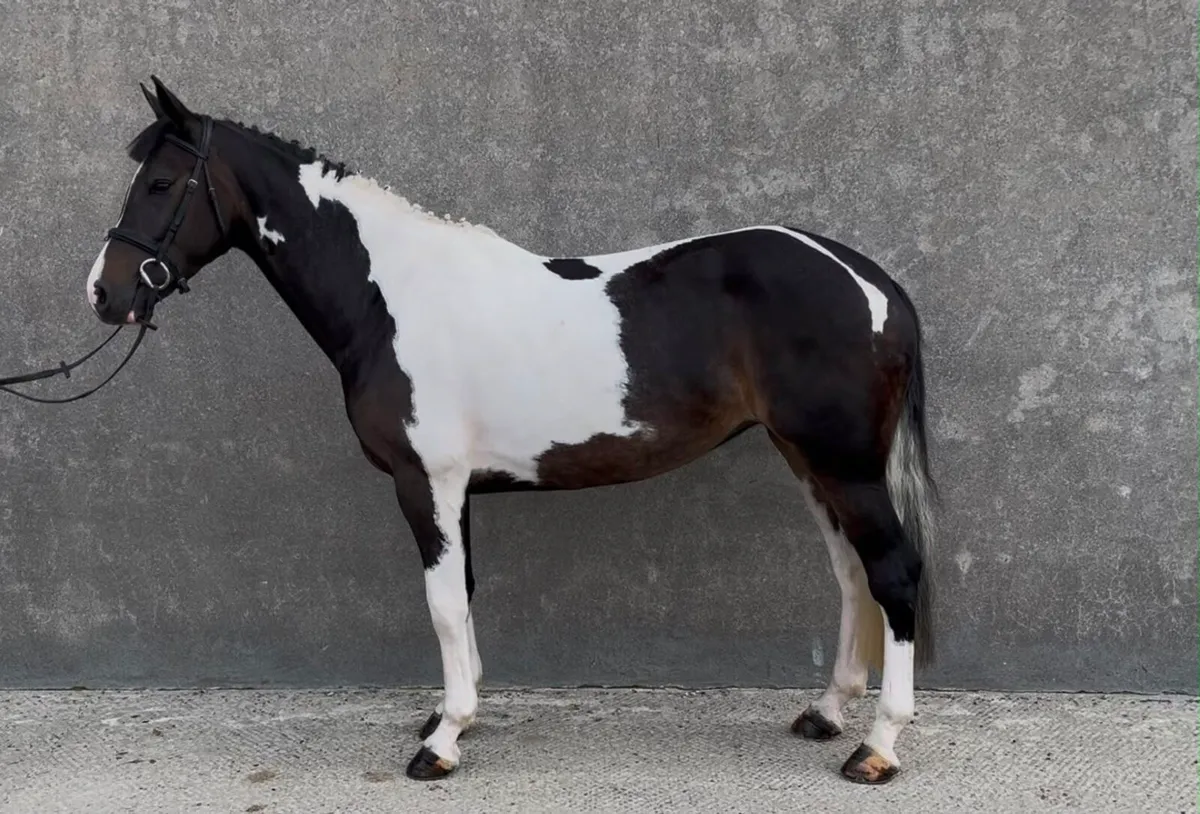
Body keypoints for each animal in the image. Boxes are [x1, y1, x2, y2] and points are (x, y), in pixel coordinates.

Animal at [85, 76, 938, 785]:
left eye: (160, 182)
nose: (105, 292)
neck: (388, 296)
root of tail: (871, 280)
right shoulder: (455, 487)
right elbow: (461, 595)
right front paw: (451, 715)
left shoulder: (425, 482)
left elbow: (441, 603)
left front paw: (441, 743)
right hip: (812, 461)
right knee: (851, 573)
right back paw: (826, 713)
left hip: (844, 464)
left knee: (892, 573)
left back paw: (877, 747)